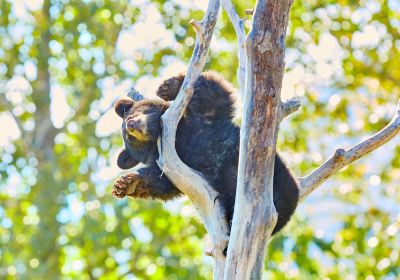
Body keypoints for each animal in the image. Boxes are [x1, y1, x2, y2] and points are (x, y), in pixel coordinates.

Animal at [113, 71, 300, 234]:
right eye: (130, 138)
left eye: (135, 112)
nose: (131, 125)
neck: (178, 136)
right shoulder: (172, 163)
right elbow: (161, 182)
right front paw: (126, 184)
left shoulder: (206, 121)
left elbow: (214, 96)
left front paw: (169, 87)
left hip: (280, 182)